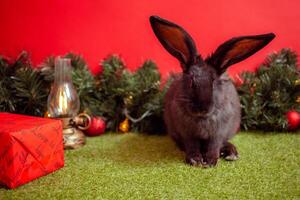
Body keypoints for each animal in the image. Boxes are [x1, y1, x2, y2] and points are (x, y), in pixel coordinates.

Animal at [149, 15, 276, 166]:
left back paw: (231, 153)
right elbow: (192, 145)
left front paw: (210, 161)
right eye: (191, 81)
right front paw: (195, 160)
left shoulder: (218, 133)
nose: (202, 108)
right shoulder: (187, 134)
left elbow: (214, 145)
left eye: (214, 82)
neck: (202, 118)